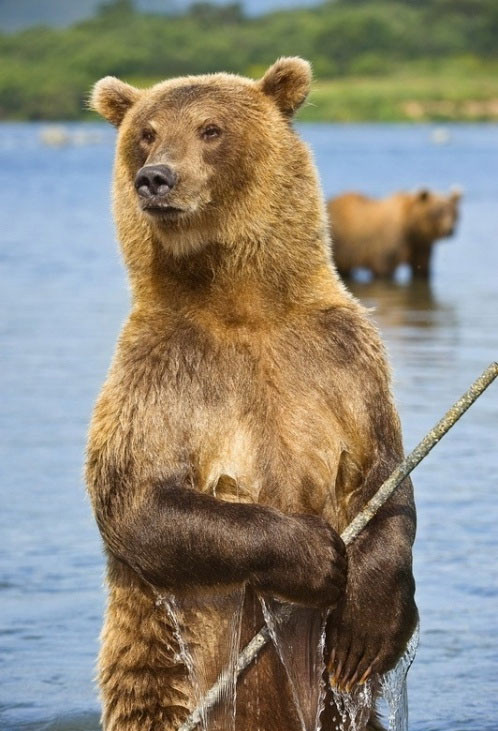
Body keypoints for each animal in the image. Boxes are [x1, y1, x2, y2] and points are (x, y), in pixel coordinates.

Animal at [85, 58, 416, 731]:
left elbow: (383, 469)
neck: (243, 306)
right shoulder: (160, 373)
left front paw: (368, 626)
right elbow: (139, 500)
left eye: (210, 129)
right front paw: (313, 555)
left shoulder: (340, 352)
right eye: (147, 133)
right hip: (168, 676)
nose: (155, 179)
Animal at [328, 189, 462, 280]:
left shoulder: (421, 244)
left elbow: (422, 267)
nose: (449, 230)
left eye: (454, 213)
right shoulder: (388, 242)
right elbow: (384, 269)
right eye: (438, 212)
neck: (411, 227)